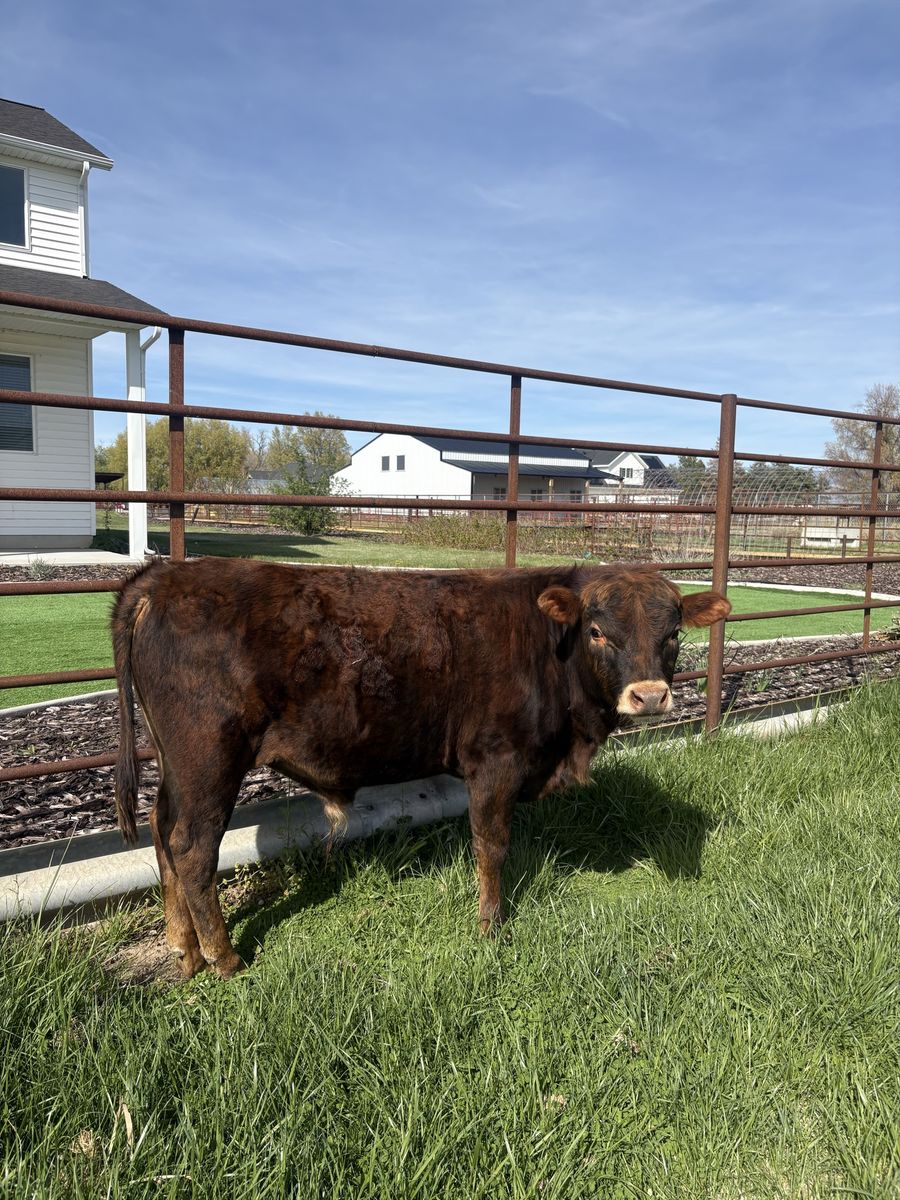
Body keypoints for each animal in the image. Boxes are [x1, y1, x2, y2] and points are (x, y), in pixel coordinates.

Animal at [112, 557, 729, 979]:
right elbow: (491, 845)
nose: (649, 696)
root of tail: (163, 578)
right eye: (598, 631)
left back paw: (183, 946)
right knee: (193, 847)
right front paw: (490, 927)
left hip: (176, 766)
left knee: (162, 832)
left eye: (673, 634)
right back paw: (223, 957)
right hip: (209, 758)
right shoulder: (495, 762)